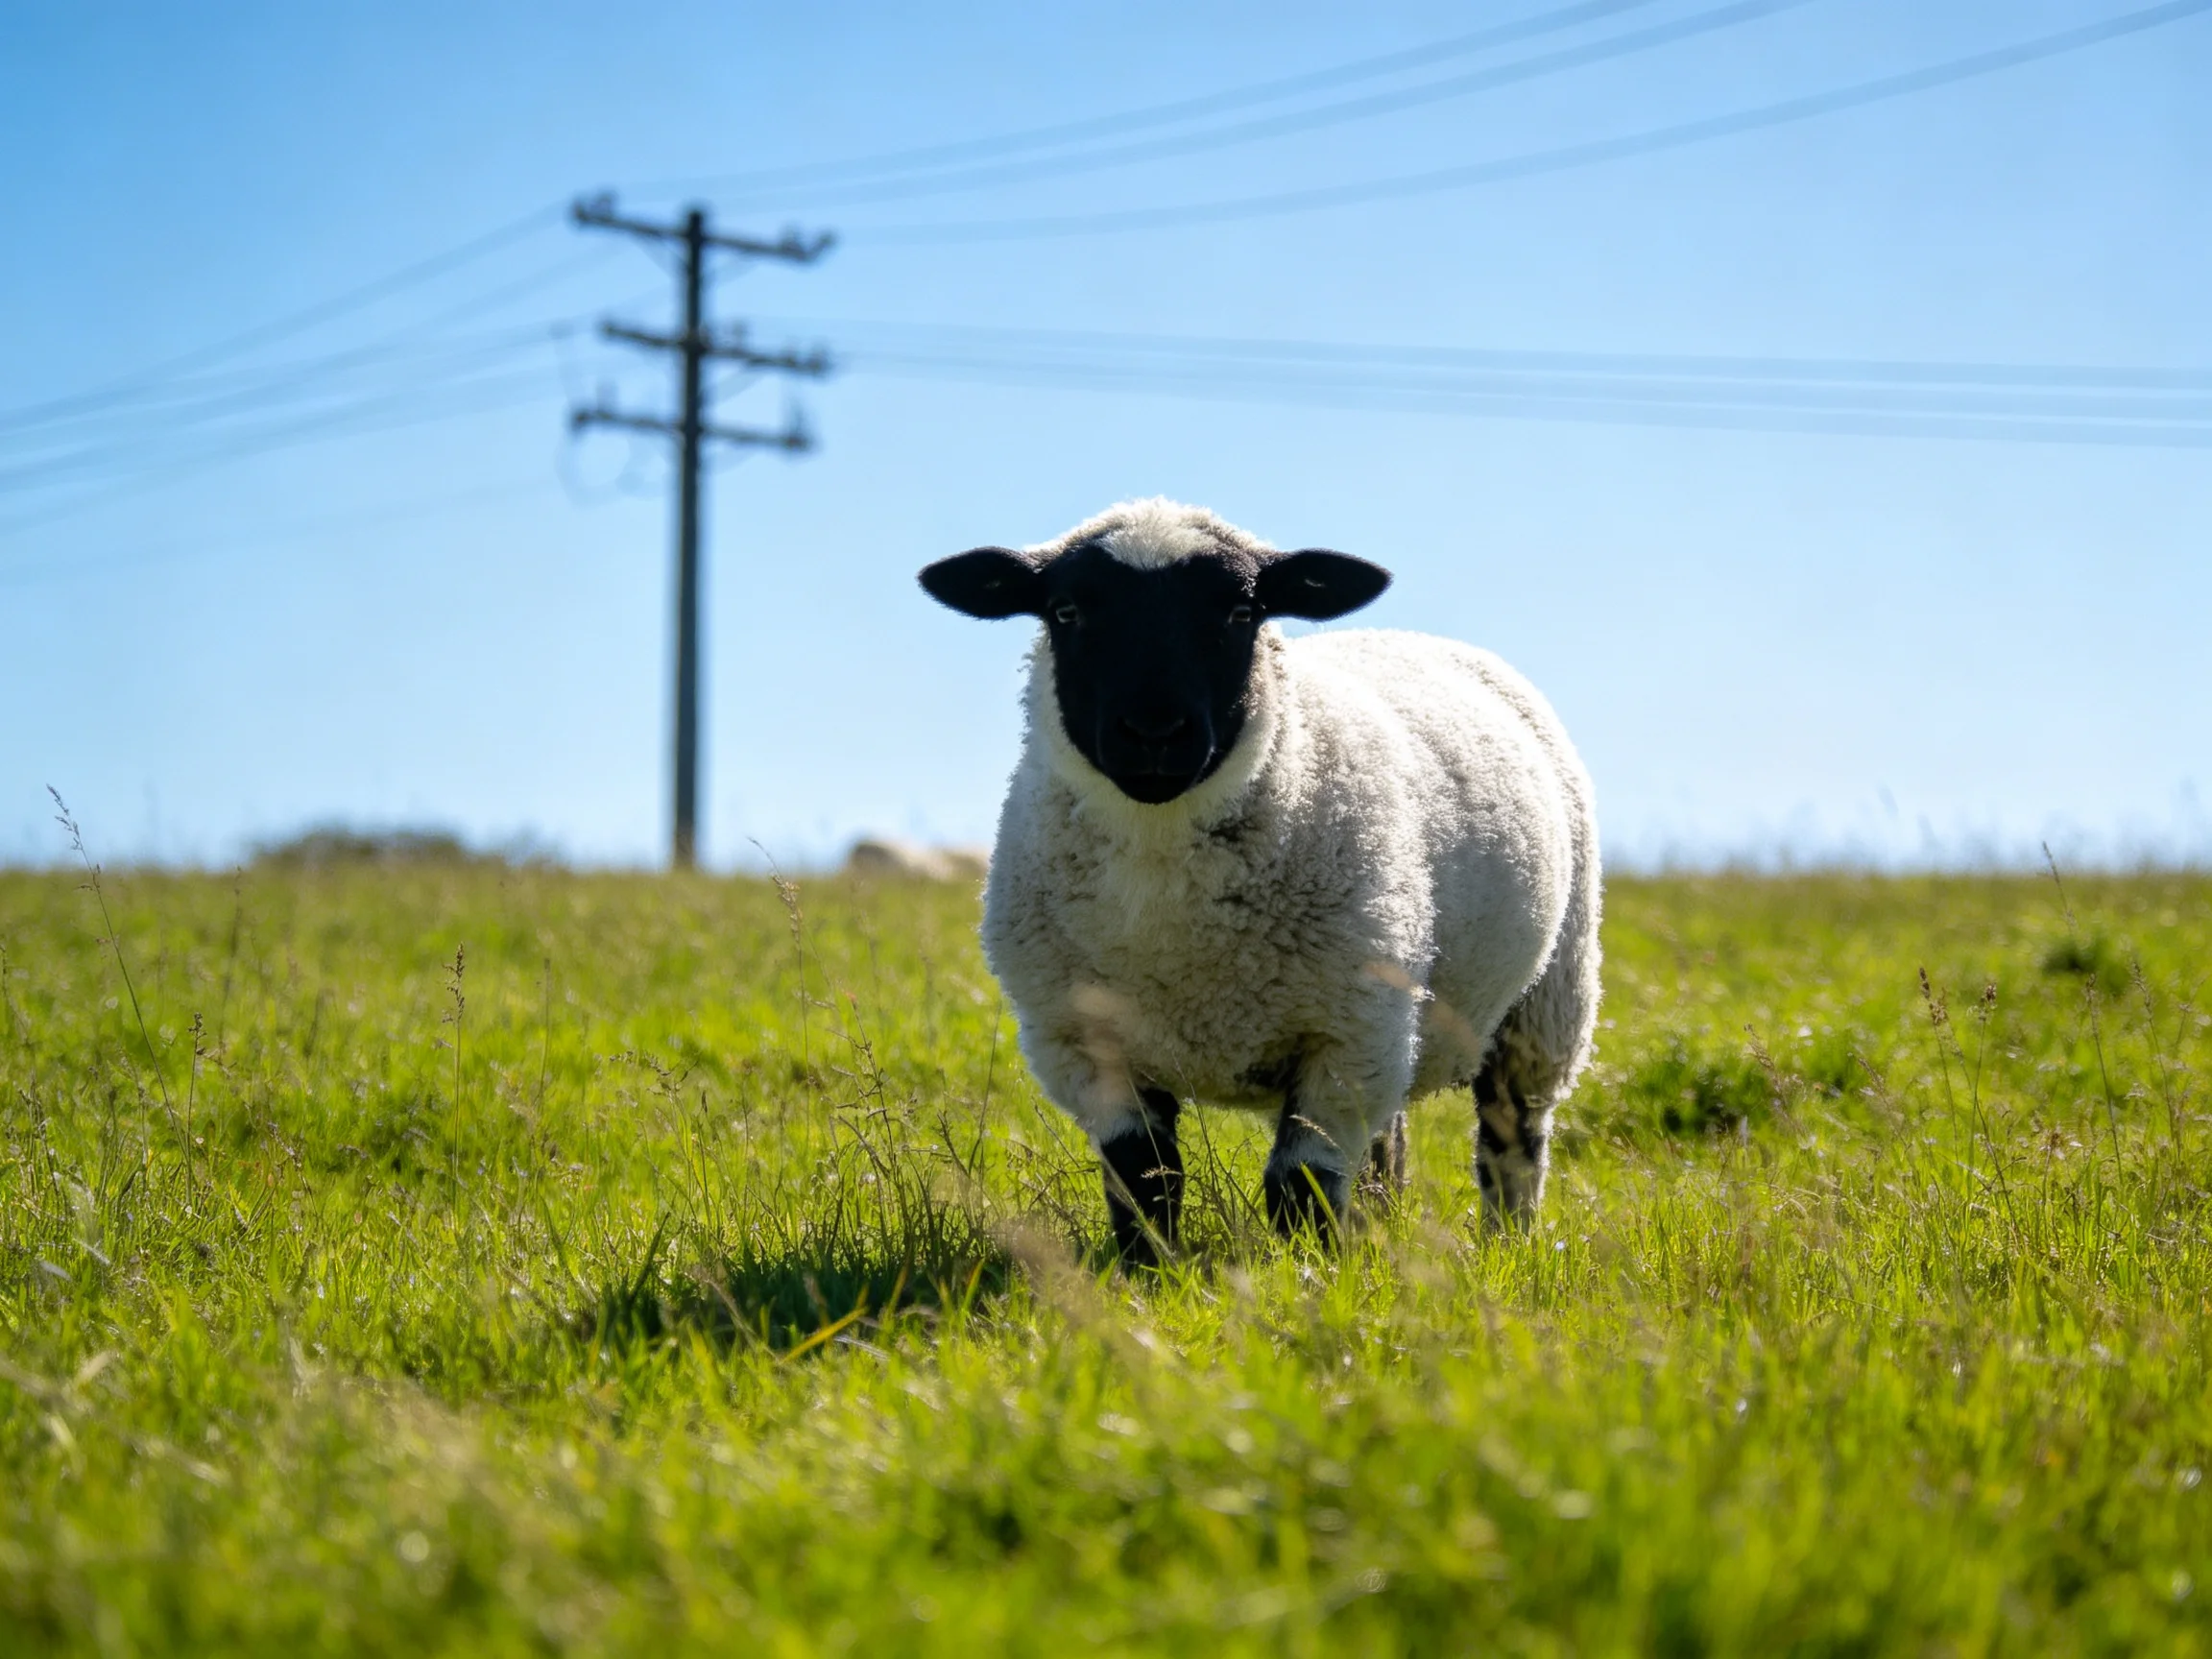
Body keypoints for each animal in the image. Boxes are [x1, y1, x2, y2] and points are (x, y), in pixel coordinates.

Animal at [919, 498, 1600, 1264]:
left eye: (1241, 611)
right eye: (1065, 610)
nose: (1154, 731)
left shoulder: (1345, 1033)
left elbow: (1299, 1189)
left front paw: (1309, 1277)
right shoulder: (1085, 1046)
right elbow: (1145, 1180)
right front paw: (1149, 1275)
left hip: (1544, 999)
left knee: (1513, 1137)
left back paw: (1508, 1246)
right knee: (1389, 1142)